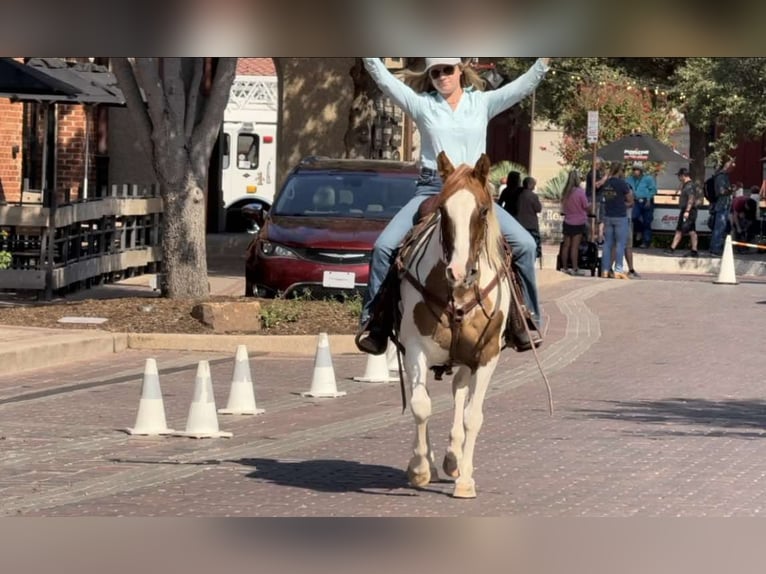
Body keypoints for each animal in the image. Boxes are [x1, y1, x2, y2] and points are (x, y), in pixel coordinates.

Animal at [395, 151, 514, 499]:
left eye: (483, 209)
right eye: (442, 210)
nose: (459, 272)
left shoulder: (486, 355)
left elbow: (473, 416)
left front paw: (465, 481)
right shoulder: (414, 348)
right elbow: (421, 405)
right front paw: (420, 468)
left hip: (464, 359)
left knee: (459, 391)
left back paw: (453, 459)